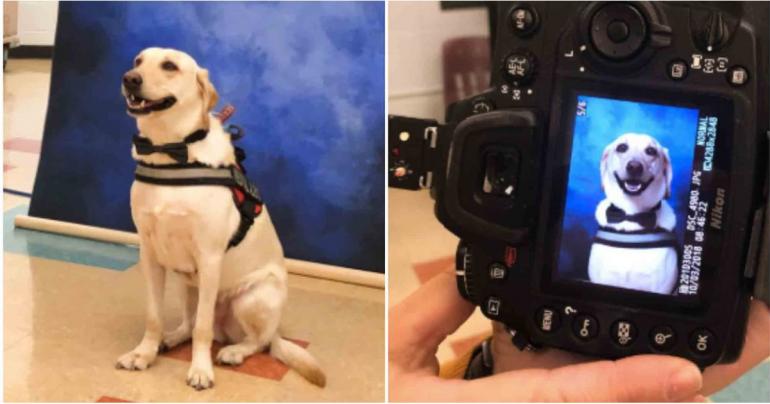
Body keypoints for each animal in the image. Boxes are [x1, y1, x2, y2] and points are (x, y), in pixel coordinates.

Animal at [116, 46, 324, 388]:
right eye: (138, 61)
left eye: (169, 66)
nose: (129, 79)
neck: (173, 152)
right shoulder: (150, 255)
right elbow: (154, 315)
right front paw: (143, 354)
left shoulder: (209, 257)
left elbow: (202, 326)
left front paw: (200, 370)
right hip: (187, 284)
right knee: (191, 325)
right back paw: (171, 338)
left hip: (251, 298)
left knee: (256, 341)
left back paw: (235, 352)